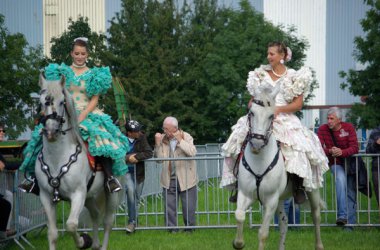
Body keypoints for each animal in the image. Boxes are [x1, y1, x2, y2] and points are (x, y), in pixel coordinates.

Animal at [35, 74, 121, 250]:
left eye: (62, 102)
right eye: (40, 102)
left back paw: (100, 244)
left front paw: (83, 241)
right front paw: (87, 241)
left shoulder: (78, 194)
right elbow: (52, 233)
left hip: (111, 195)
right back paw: (95, 244)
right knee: (95, 214)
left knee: (107, 223)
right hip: (89, 196)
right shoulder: (46, 196)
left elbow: (71, 225)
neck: (57, 158)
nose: (51, 132)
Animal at [232, 89, 324, 250]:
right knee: (284, 223)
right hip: (280, 199)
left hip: (312, 190)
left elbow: (263, 233)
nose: (256, 144)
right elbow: (239, 215)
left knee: (316, 216)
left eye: (271, 116)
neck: (259, 161)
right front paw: (238, 243)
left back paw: (319, 245)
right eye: (251, 113)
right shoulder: (245, 195)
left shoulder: (271, 200)